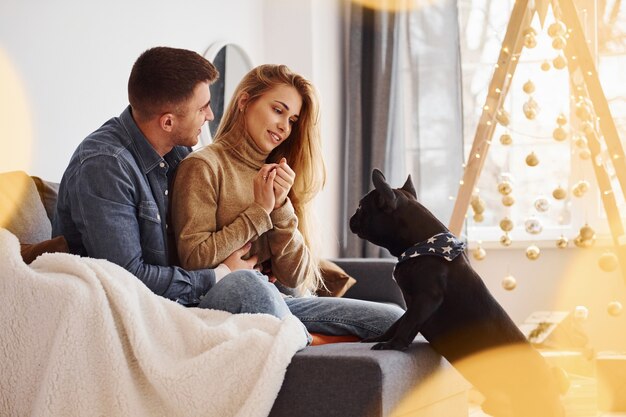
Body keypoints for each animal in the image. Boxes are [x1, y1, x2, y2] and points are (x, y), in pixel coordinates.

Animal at [348, 168, 564, 416]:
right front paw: (381, 338)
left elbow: (407, 322)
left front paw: (394, 345)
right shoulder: (412, 302)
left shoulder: (426, 298)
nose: (352, 217)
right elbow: (398, 322)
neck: (421, 244)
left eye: (361, 207)